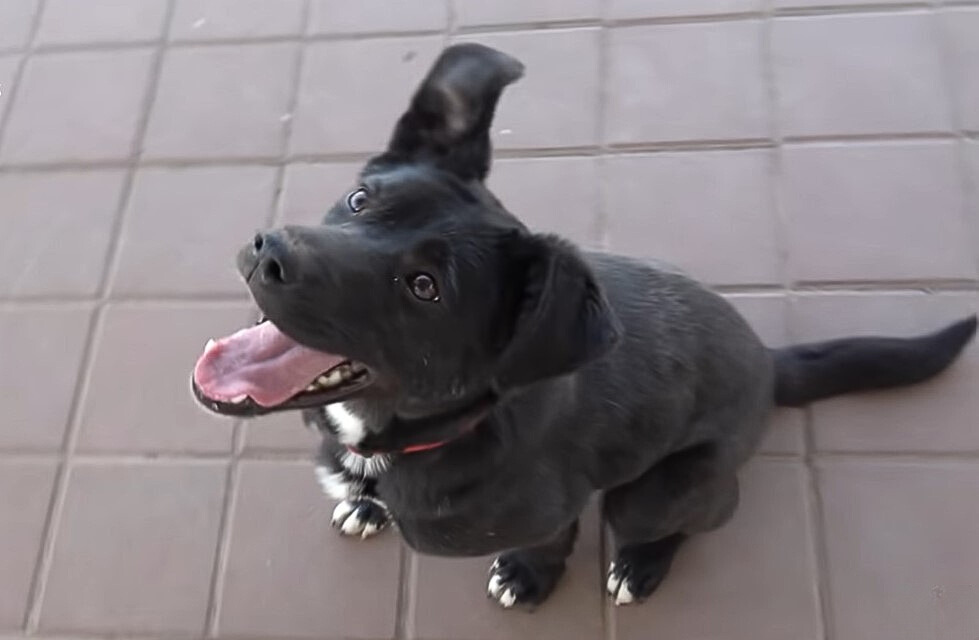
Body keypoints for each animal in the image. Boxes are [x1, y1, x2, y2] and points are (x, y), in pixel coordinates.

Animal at [189, 42, 972, 608]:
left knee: (704, 513)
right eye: (359, 199)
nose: (268, 253)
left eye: (425, 288)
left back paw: (641, 565)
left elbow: (549, 542)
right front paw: (363, 508)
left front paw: (529, 578)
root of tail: (767, 361)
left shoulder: (554, 508)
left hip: (654, 491)